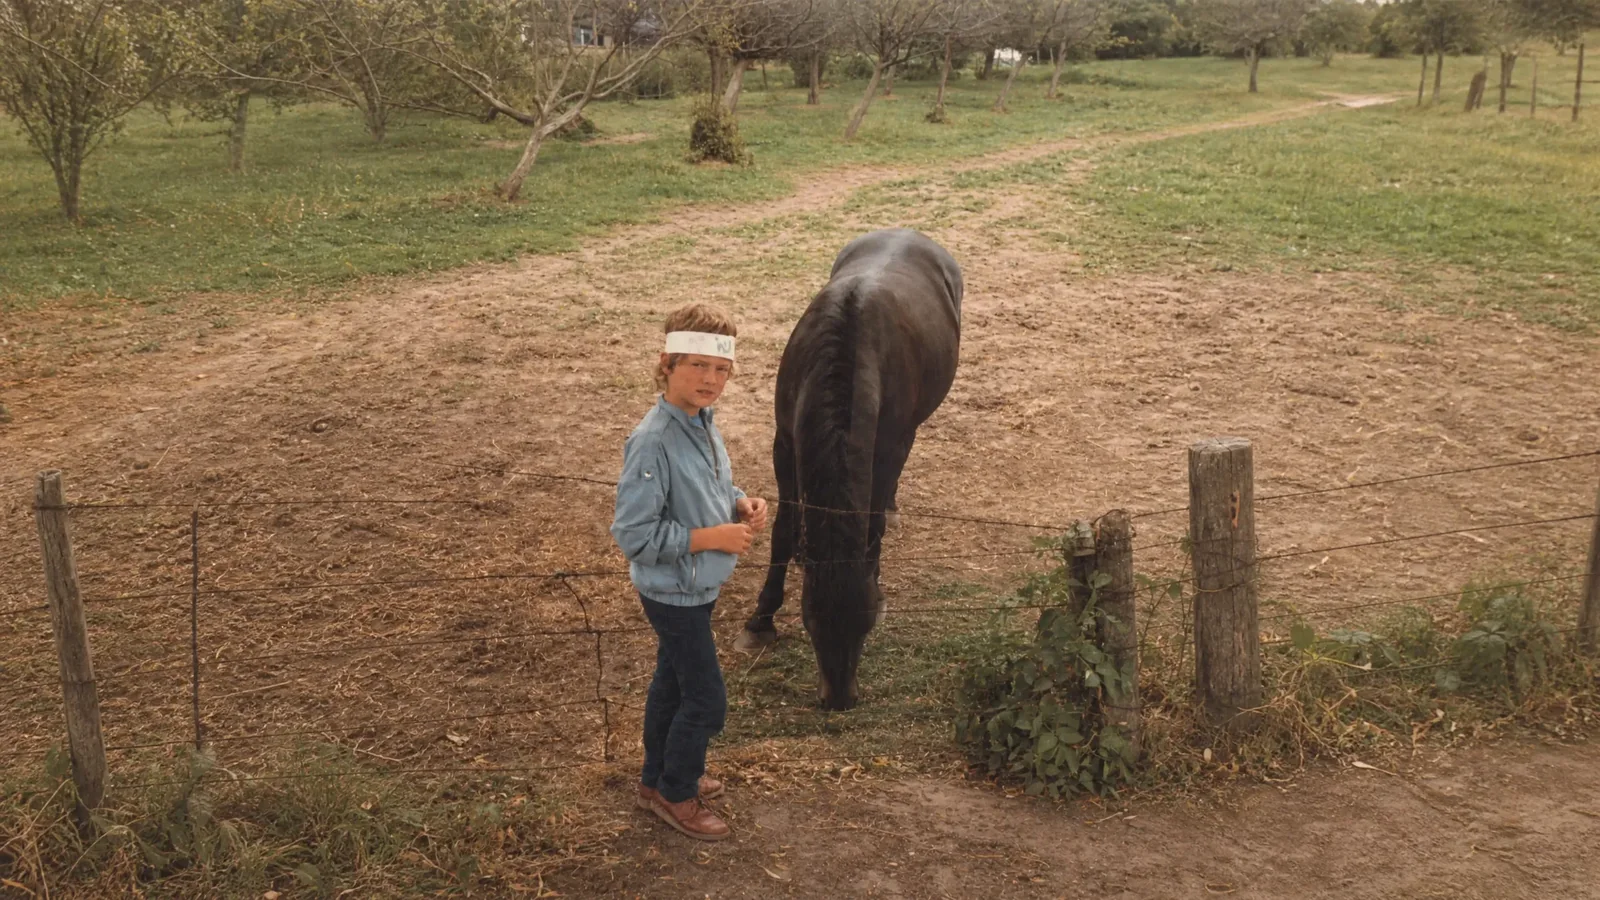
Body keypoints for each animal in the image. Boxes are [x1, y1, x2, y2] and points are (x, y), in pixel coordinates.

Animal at [735, 228, 963, 710]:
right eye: (810, 618)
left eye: (865, 624)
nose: (839, 698)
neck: (847, 346)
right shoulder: (784, 443)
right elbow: (783, 529)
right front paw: (761, 619)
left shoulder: (888, 446)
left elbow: (872, 522)